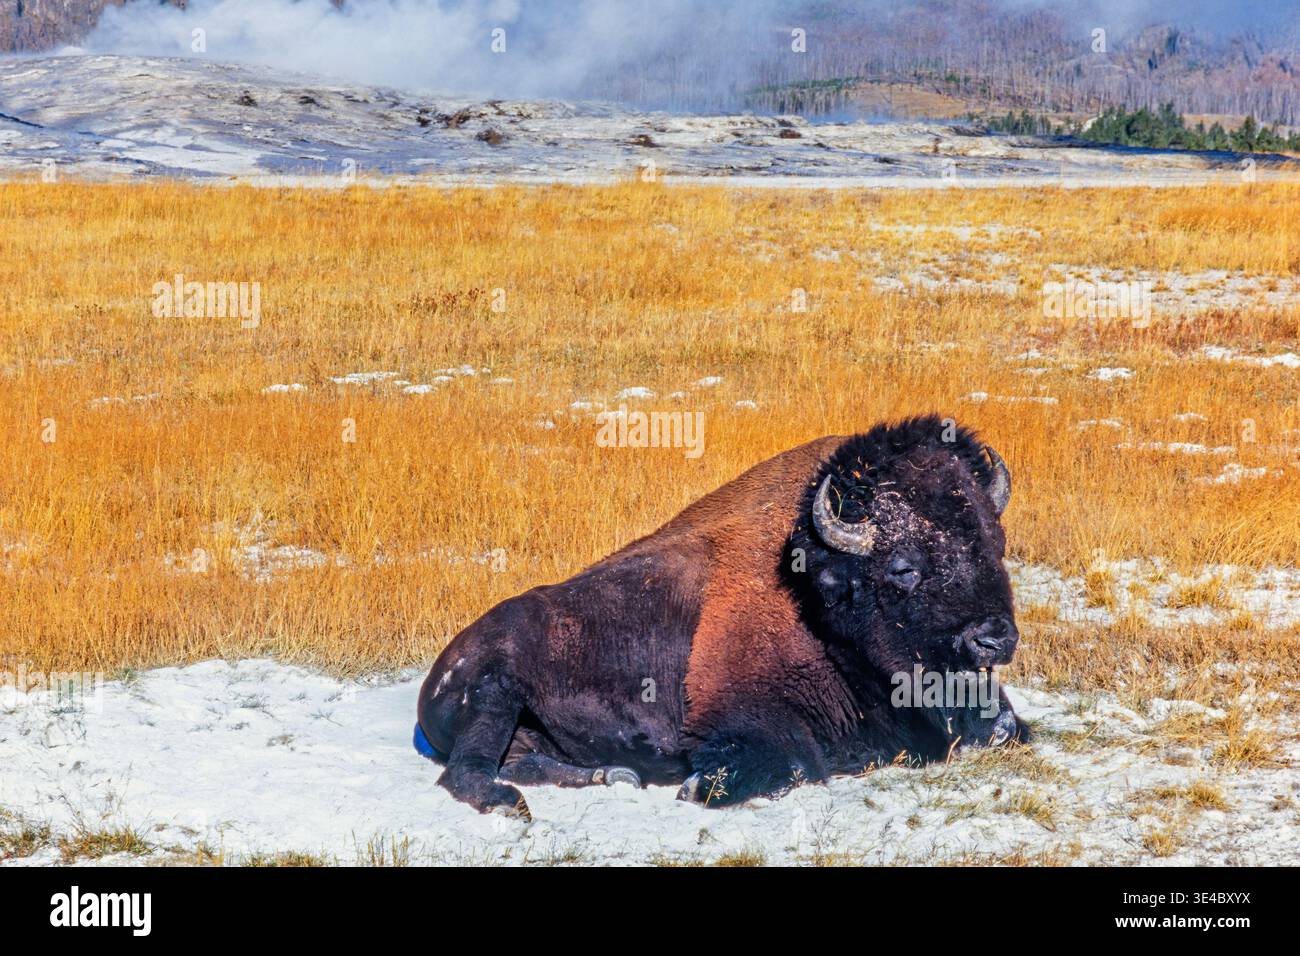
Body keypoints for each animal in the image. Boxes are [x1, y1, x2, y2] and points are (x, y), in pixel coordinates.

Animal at [416, 414, 1026, 816]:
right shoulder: (744, 716)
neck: (814, 597)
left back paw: (612, 775)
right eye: (903, 567)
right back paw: (510, 802)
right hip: (495, 689)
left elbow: (1005, 727)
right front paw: (694, 787)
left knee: (520, 761)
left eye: (996, 544)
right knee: (469, 771)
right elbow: (792, 762)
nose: (995, 639)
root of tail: (437, 672)